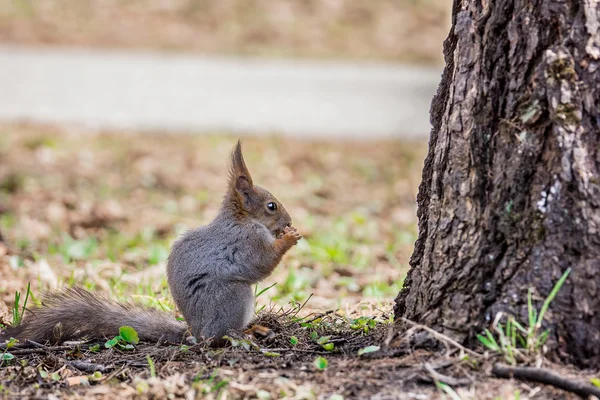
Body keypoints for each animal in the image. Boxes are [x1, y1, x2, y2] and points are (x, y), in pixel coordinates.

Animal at [0, 142, 300, 346]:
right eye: (271, 206)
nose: (289, 220)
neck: (241, 219)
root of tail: (195, 332)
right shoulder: (246, 240)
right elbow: (260, 264)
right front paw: (288, 238)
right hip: (233, 297)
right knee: (220, 336)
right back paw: (242, 335)